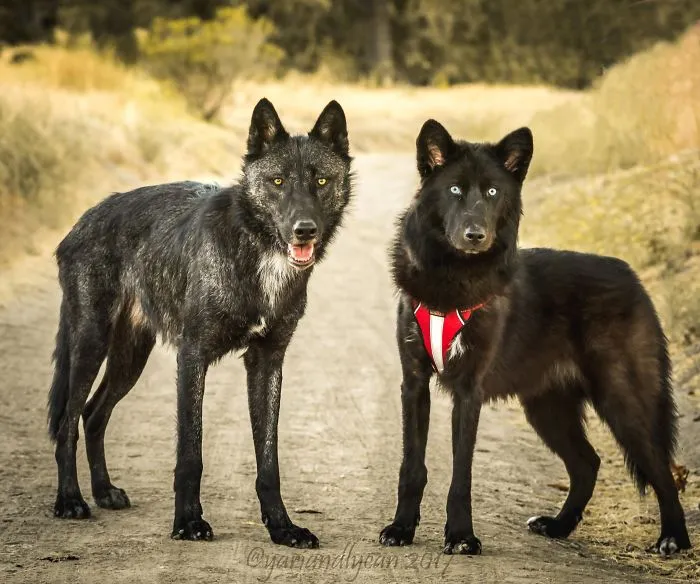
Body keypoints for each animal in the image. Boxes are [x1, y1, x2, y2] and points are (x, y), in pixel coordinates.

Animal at [47, 98, 352, 548]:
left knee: (93, 413)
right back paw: (70, 501)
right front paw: (188, 522)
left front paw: (282, 528)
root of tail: (83, 219)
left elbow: (269, 462)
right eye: (278, 181)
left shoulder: (267, 362)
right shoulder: (192, 356)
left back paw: (104, 492)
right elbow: (191, 452)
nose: (304, 230)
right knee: (68, 421)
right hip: (90, 343)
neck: (257, 251)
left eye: (322, 181)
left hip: (129, 360)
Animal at [379, 119, 690, 556]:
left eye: (493, 192)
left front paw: (461, 537)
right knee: (588, 463)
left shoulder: (469, 392)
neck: (452, 280)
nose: (476, 235)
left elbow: (461, 476)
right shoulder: (414, 384)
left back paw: (673, 539)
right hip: (547, 409)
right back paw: (558, 526)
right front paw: (401, 528)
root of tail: (634, 278)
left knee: (661, 469)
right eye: (455, 189)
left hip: (624, 401)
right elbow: (412, 466)